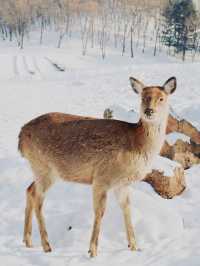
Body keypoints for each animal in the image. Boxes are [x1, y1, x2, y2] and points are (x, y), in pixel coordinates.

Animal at [18, 76, 176, 256]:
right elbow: (100, 212)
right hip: (44, 168)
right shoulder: (101, 177)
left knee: (30, 190)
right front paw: (92, 250)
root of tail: (21, 136)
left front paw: (134, 247)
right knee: (38, 199)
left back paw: (28, 241)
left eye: (161, 98)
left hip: (40, 169)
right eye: (143, 98)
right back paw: (46, 245)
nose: (149, 111)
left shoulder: (122, 184)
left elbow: (127, 208)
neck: (137, 143)